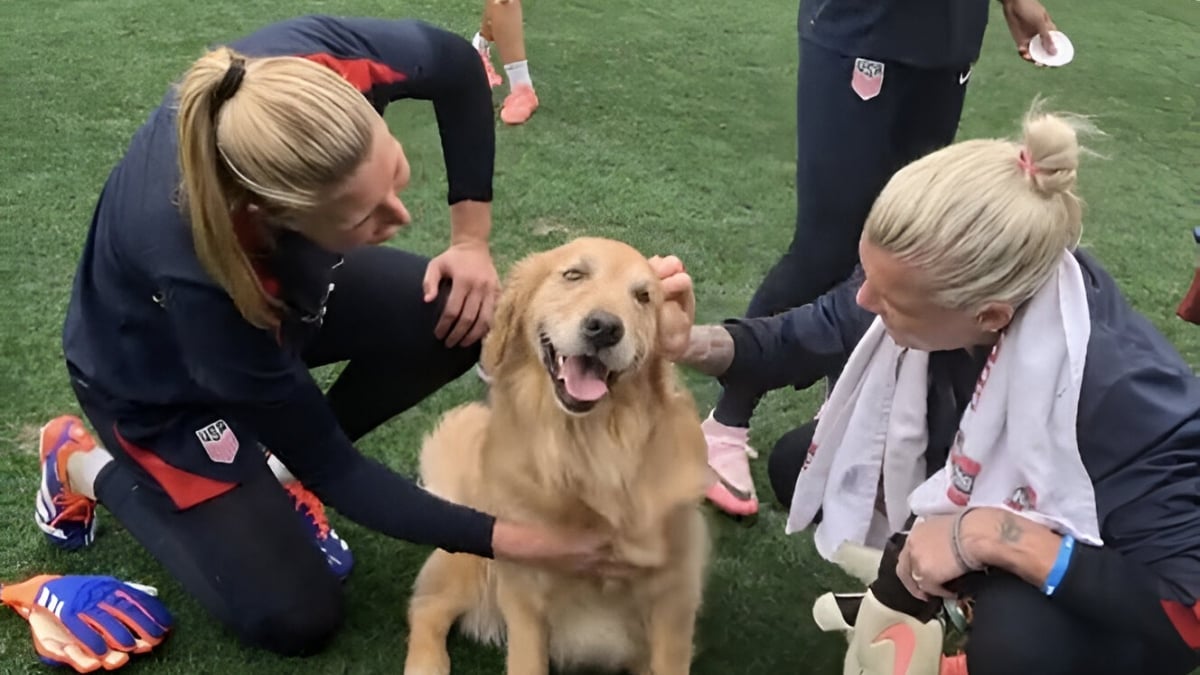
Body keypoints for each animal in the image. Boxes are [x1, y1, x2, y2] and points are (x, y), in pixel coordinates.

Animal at [398, 236, 715, 672]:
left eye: (643, 296)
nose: (605, 328)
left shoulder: (674, 599)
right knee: (427, 608)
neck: (586, 449)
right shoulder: (524, 593)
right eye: (574, 274)